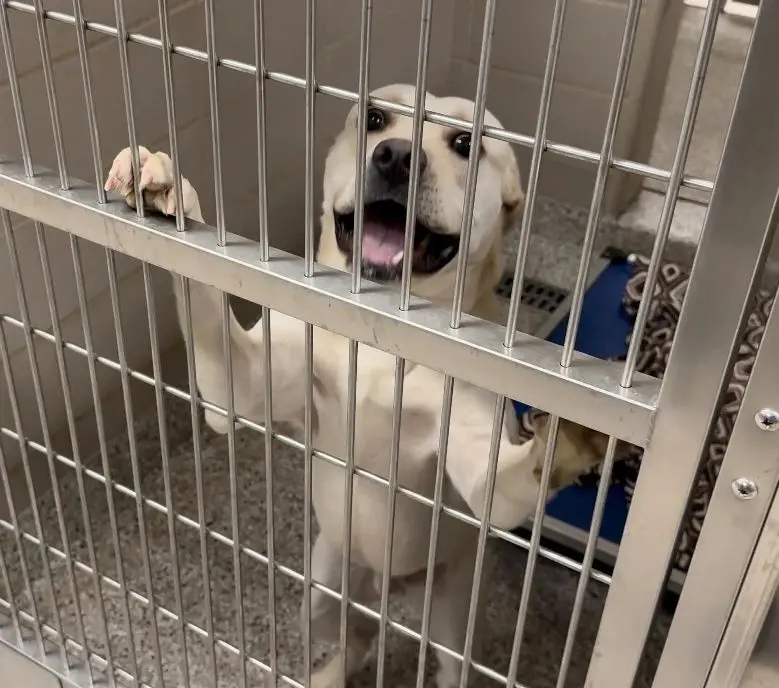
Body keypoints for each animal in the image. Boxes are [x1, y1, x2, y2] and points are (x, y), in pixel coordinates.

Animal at [105, 83, 608, 684]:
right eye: (374, 119)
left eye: (467, 144)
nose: (396, 157)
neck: (382, 331)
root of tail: (390, 588)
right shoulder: (240, 385)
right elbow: (205, 295)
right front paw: (163, 191)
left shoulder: (483, 473)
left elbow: (510, 476)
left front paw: (573, 436)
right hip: (322, 590)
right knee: (357, 635)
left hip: (452, 614)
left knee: (447, 662)